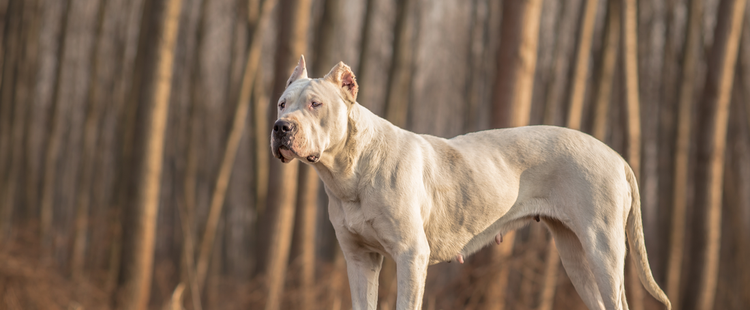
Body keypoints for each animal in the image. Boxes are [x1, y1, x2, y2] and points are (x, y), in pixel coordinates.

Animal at [274, 56, 672, 310]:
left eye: (315, 104)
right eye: (281, 104)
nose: (282, 127)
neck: (350, 170)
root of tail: (617, 157)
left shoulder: (411, 255)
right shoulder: (359, 259)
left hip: (602, 248)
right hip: (575, 254)